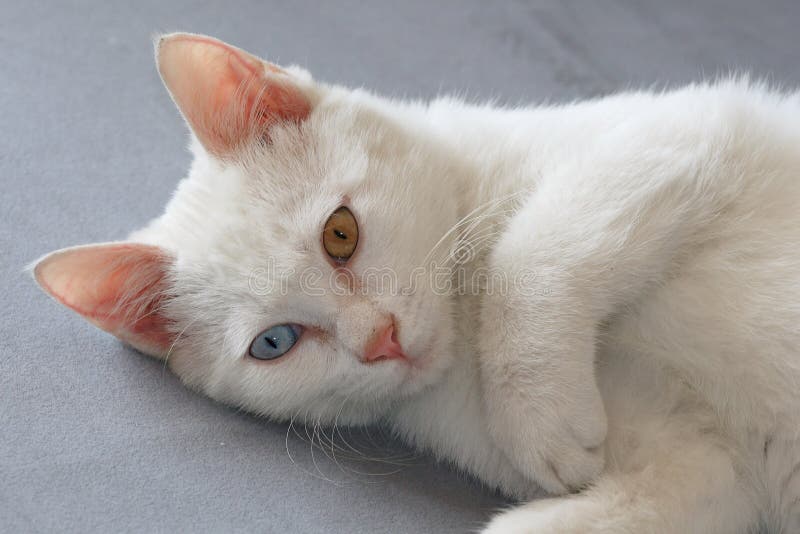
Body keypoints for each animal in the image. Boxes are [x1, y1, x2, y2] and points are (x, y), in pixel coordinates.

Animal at [34, 34, 800, 534]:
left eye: (340, 233)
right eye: (275, 343)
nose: (382, 339)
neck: (466, 340)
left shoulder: (685, 129)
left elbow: (533, 249)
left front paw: (537, 413)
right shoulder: (710, 471)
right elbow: (684, 493)